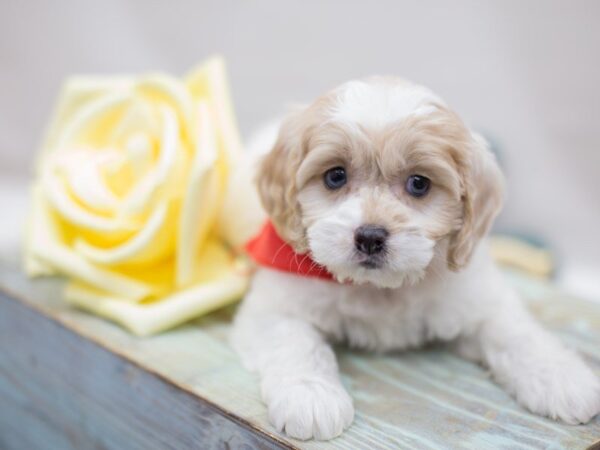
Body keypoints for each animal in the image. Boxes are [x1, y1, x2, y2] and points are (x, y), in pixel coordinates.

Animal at [230, 76, 600, 440]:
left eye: (419, 183)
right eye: (335, 176)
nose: (370, 237)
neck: (379, 289)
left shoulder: (478, 296)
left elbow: (516, 332)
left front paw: (563, 377)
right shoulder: (274, 306)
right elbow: (296, 341)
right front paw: (310, 395)